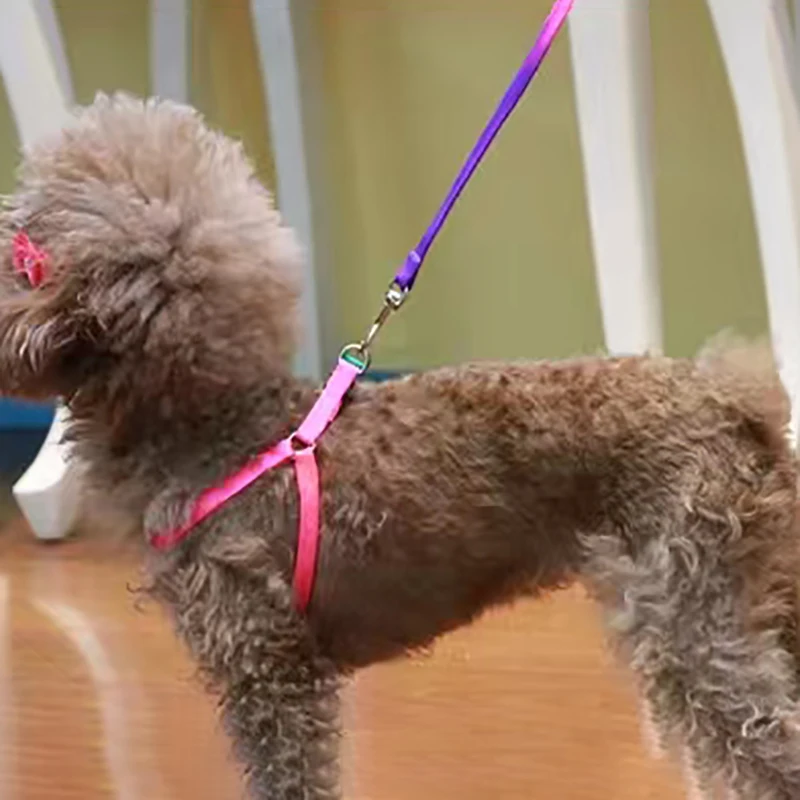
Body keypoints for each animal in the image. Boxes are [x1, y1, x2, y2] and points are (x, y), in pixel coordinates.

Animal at [1, 95, 800, 800]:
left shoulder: (271, 673)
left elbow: (290, 779)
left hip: (692, 619)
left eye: (22, 247)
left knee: (771, 742)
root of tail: (735, 399)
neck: (212, 425)